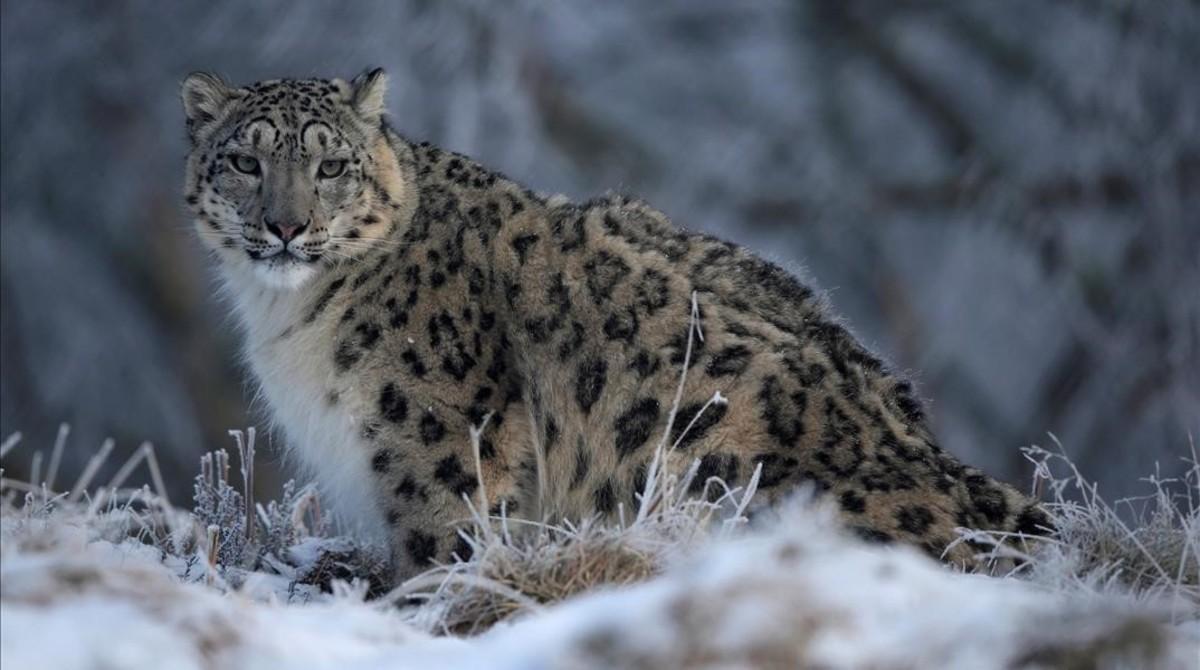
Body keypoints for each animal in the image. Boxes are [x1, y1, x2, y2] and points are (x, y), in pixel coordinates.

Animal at [181, 68, 1050, 581]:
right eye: (245, 161)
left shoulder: (437, 442)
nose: (286, 226)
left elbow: (443, 545)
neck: (286, 317)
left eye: (331, 166)